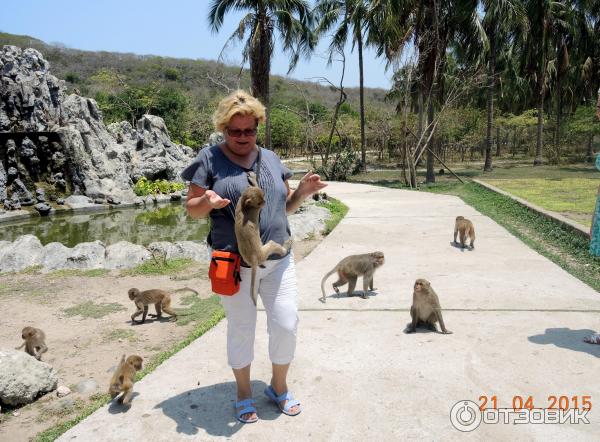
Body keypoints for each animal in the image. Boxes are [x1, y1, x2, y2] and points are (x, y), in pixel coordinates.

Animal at [234, 171, 290, 306]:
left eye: (263, 196)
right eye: (259, 203)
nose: (265, 202)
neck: (244, 205)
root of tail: (254, 259)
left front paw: (252, 179)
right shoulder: (256, 209)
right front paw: (254, 179)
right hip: (266, 248)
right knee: (274, 246)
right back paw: (286, 246)